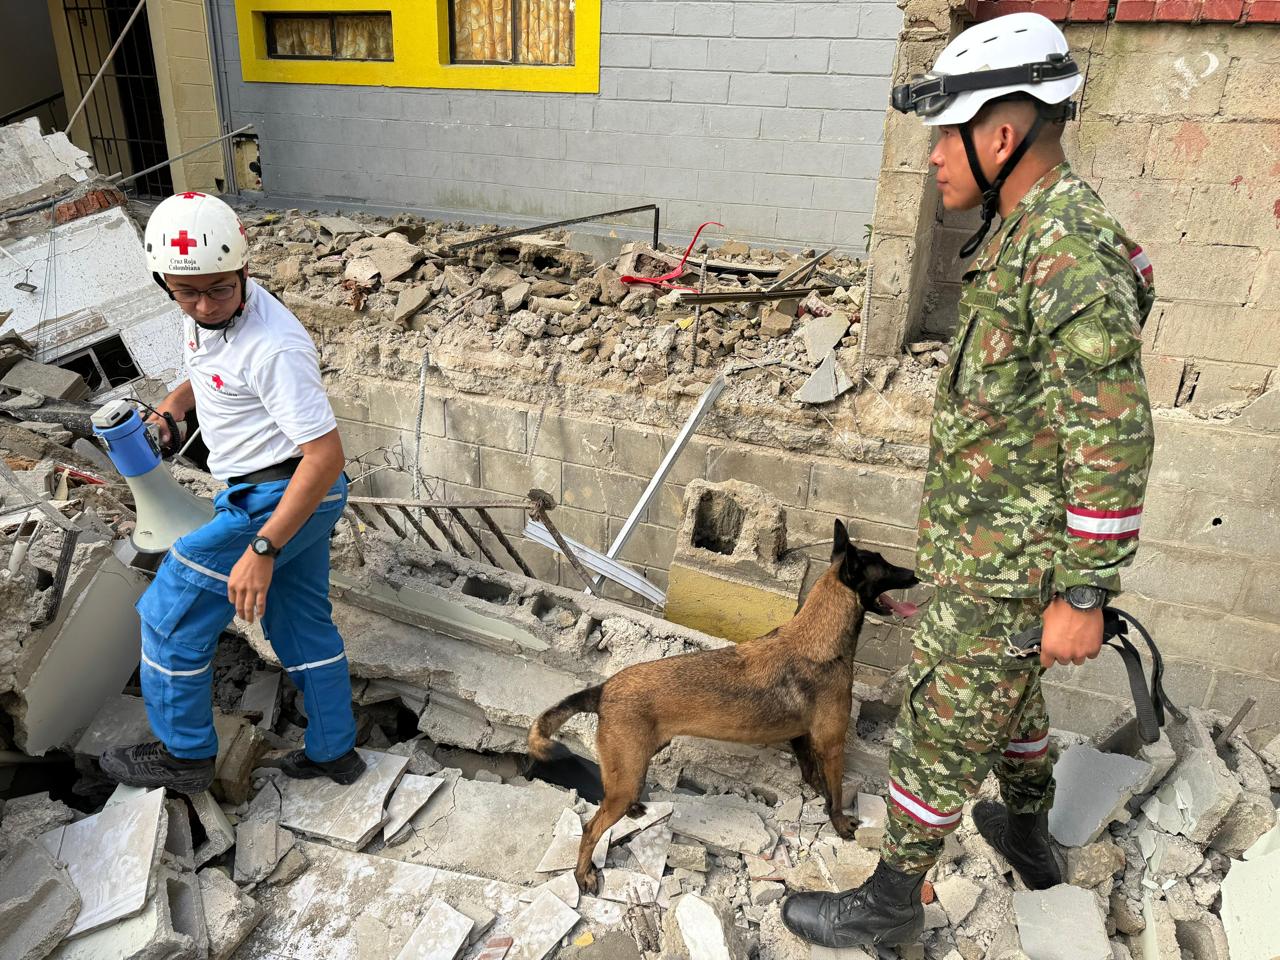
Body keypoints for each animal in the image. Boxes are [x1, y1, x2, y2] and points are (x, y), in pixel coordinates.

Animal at [529, 519, 921, 896]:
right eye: (885, 565)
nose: (917, 575)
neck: (818, 638)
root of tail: (605, 689)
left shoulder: (803, 739)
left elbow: (814, 776)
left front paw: (819, 797)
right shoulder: (832, 744)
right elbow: (837, 791)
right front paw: (839, 822)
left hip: (633, 763)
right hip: (627, 773)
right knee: (591, 828)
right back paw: (583, 873)